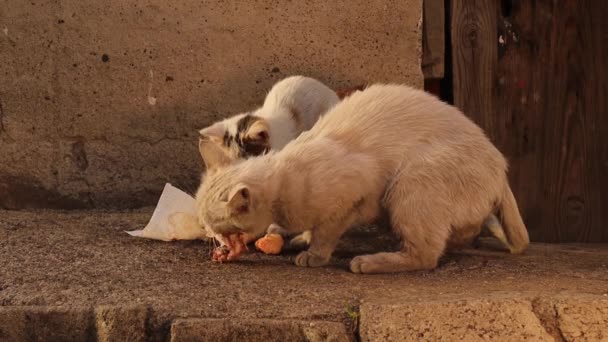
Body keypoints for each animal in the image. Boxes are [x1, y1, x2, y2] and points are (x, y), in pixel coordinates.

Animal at [194, 84, 528, 274]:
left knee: (427, 255)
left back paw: (368, 262)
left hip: (409, 183)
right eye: (205, 222)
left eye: (216, 224)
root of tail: (501, 167)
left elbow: (326, 232)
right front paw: (301, 238)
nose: (208, 235)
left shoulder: (354, 197)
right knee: (460, 233)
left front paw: (313, 254)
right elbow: (312, 229)